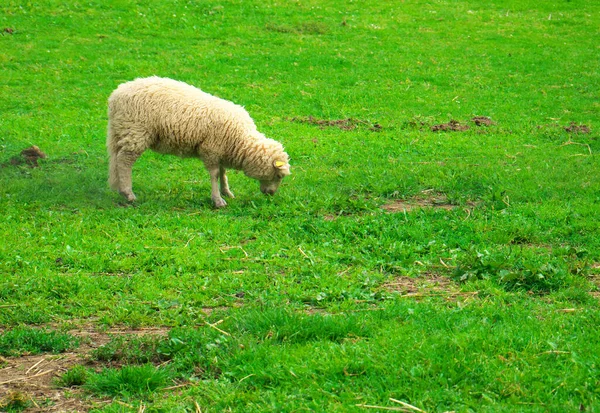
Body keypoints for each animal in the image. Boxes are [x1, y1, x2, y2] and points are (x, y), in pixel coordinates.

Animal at [106, 76, 290, 208]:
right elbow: (215, 174)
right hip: (136, 132)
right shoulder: (211, 149)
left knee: (116, 159)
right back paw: (128, 194)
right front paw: (217, 200)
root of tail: (115, 95)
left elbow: (223, 172)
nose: (270, 194)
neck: (240, 140)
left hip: (121, 132)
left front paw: (226, 192)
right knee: (124, 161)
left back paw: (119, 188)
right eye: (278, 175)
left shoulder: (220, 151)